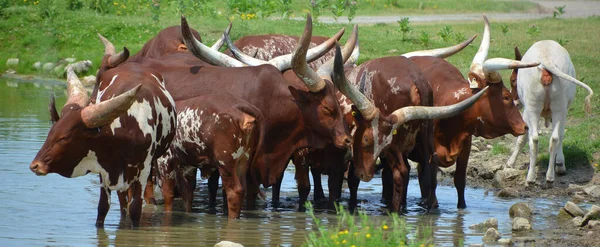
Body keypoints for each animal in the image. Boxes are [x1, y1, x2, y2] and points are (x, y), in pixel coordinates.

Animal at [29, 56, 176, 228]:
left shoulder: (143, 171)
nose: (35, 165)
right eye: (51, 132)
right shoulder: (104, 171)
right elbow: (103, 208)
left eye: (64, 137)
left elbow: (135, 210)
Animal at [508, 40, 592, 183]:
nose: (514, 103)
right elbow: (561, 134)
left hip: (532, 107)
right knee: (555, 138)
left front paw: (511, 162)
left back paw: (531, 177)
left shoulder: (526, 111)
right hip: (559, 106)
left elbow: (522, 138)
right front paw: (560, 163)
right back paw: (550, 175)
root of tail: (546, 60)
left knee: (534, 139)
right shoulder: (562, 111)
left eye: (513, 79)